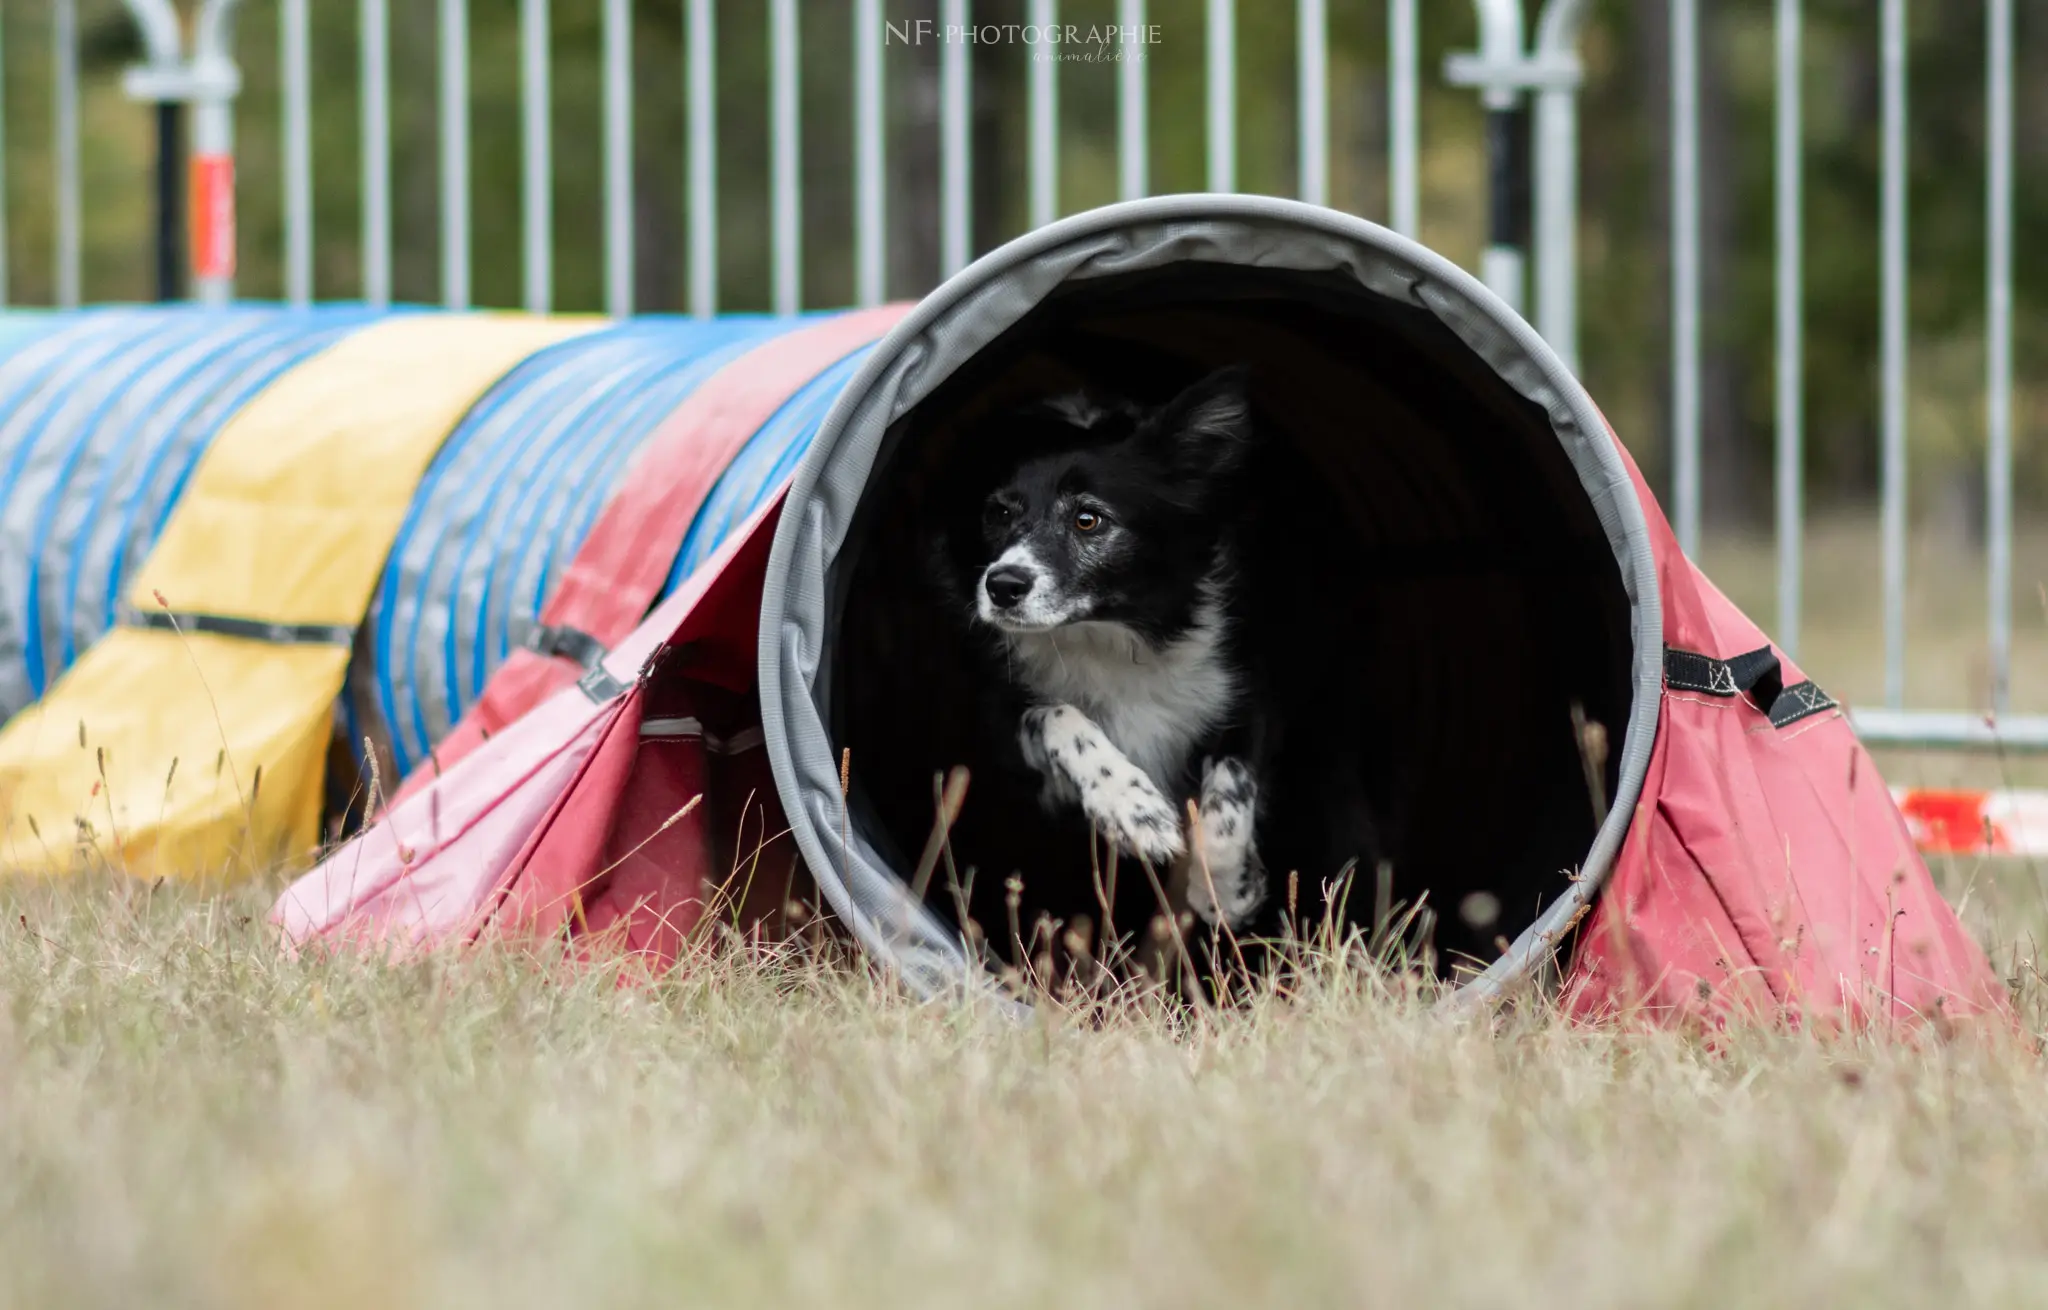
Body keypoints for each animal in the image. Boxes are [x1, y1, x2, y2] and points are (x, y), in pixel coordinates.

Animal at [933, 364, 1384, 937]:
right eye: (998, 512)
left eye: (1088, 519)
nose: (1002, 586)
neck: (1110, 633)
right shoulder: (1002, 724)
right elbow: (1061, 716)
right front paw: (1135, 811)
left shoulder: (1247, 689)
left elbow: (1232, 784)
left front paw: (1226, 889)